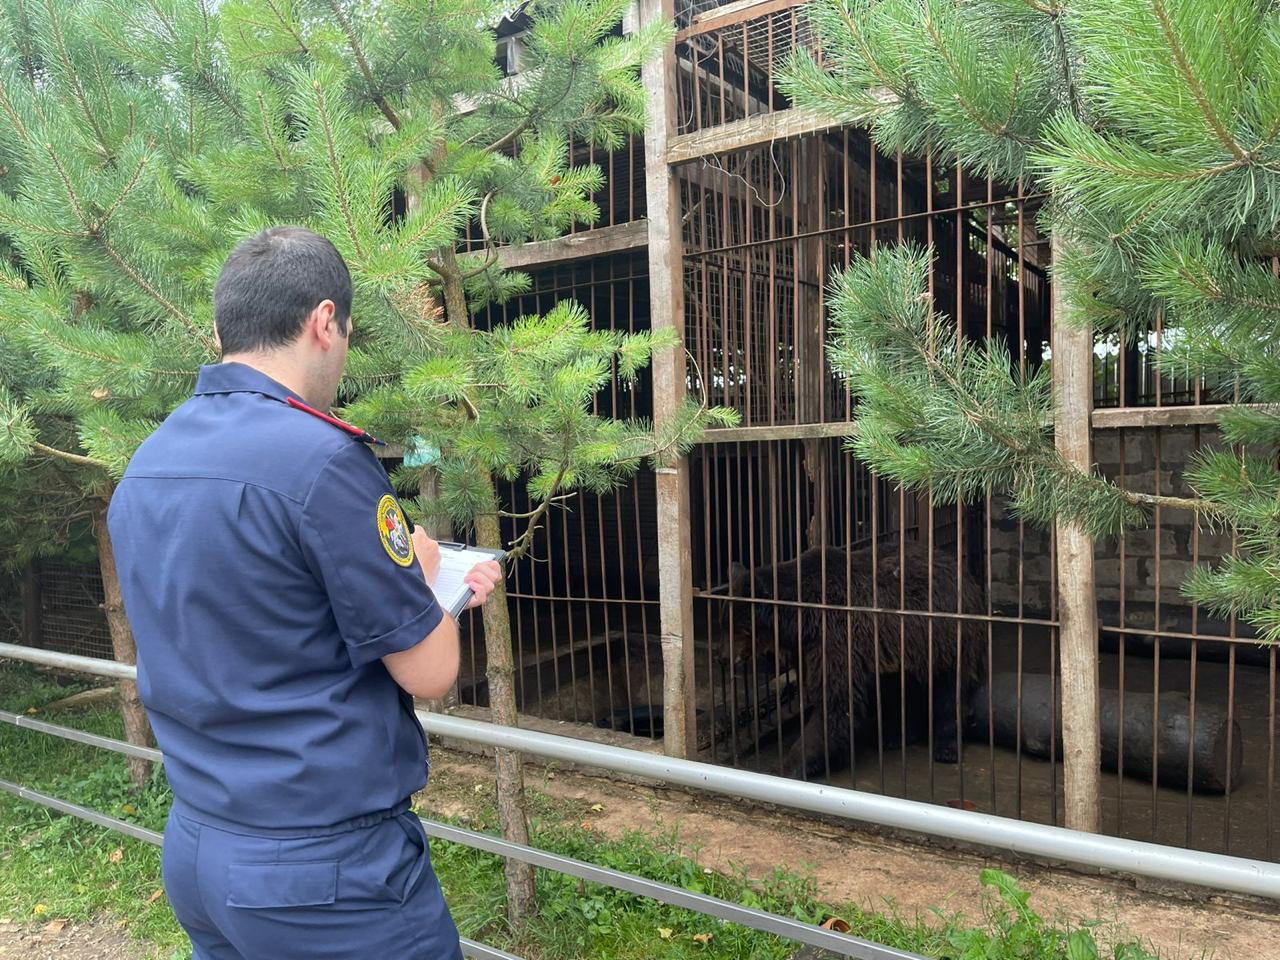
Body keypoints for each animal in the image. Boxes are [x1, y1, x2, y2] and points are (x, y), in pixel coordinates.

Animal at [727, 542, 983, 783]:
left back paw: (946, 747)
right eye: (724, 622)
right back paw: (895, 735)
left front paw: (792, 765)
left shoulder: (836, 634)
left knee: (949, 690)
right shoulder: (810, 646)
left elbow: (836, 703)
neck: (800, 618)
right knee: (903, 688)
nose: (723, 654)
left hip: (944, 637)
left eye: (735, 626)